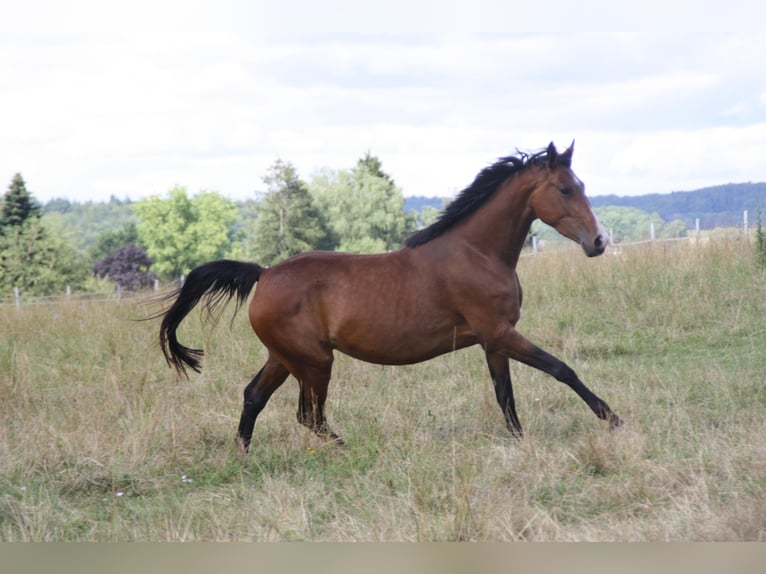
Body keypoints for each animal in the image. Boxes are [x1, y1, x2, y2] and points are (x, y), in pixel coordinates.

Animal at [156, 142, 624, 452]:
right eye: (564, 189)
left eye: (580, 184)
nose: (599, 242)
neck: (477, 252)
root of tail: (264, 273)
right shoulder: (501, 334)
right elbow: (561, 369)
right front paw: (613, 418)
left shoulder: (493, 342)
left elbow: (505, 396)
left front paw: (521, 441)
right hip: (314, 362)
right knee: (308, 415)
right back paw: (350, 449)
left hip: (286, 357)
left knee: (255, 396)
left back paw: (244, 455)